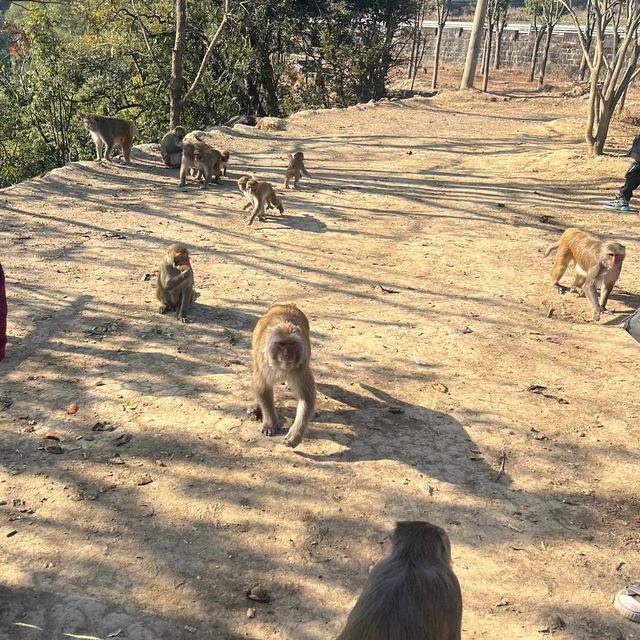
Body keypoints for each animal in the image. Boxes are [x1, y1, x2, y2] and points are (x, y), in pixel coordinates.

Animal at [252, 302, 318, 448]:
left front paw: (295, 435)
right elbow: (263, 388)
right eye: (281, 344)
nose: (287, 356)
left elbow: (306, 397)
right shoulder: (263, 362)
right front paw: (270, 424)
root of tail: (285, 304)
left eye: (292, 344)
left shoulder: (301, 366)